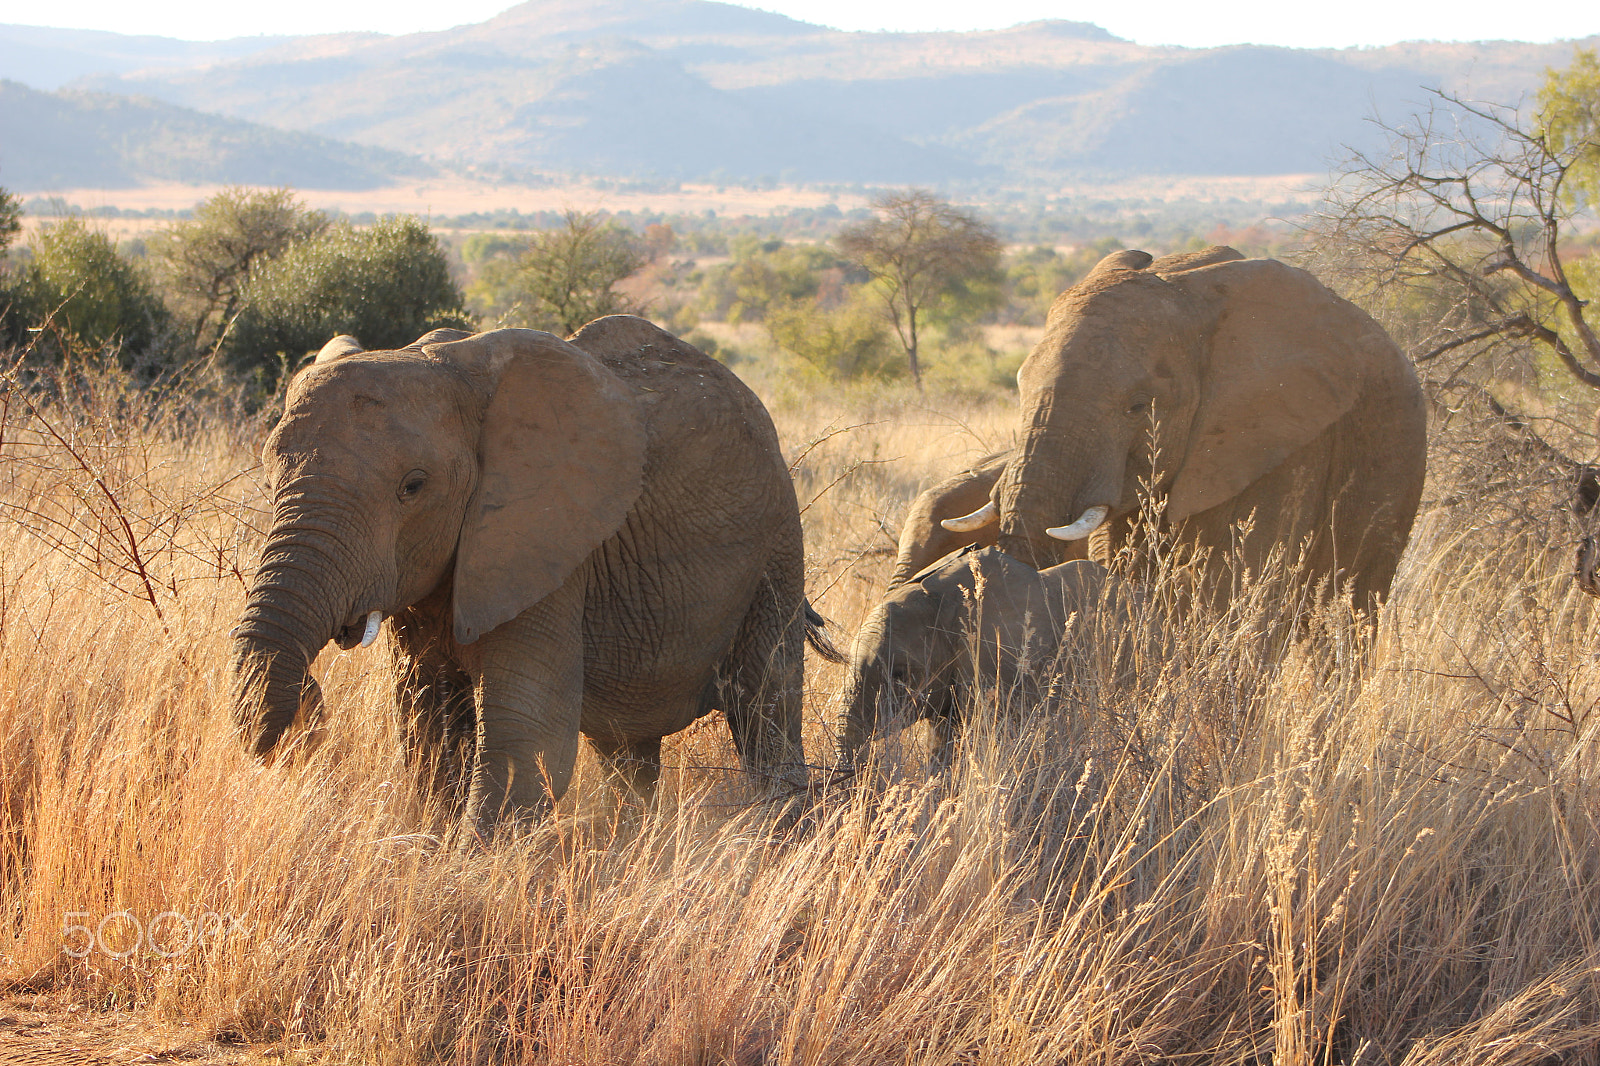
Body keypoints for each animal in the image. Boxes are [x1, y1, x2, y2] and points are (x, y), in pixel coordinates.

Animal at [229, 316, 839, 835]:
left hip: (776, 549)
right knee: (626, 745)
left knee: (766, 702)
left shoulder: (546, 544)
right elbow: (428, 722)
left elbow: (528, 734)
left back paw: (779, 834)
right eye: (271, 469)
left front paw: (470, 876)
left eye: (413, 486)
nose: (309, 692)